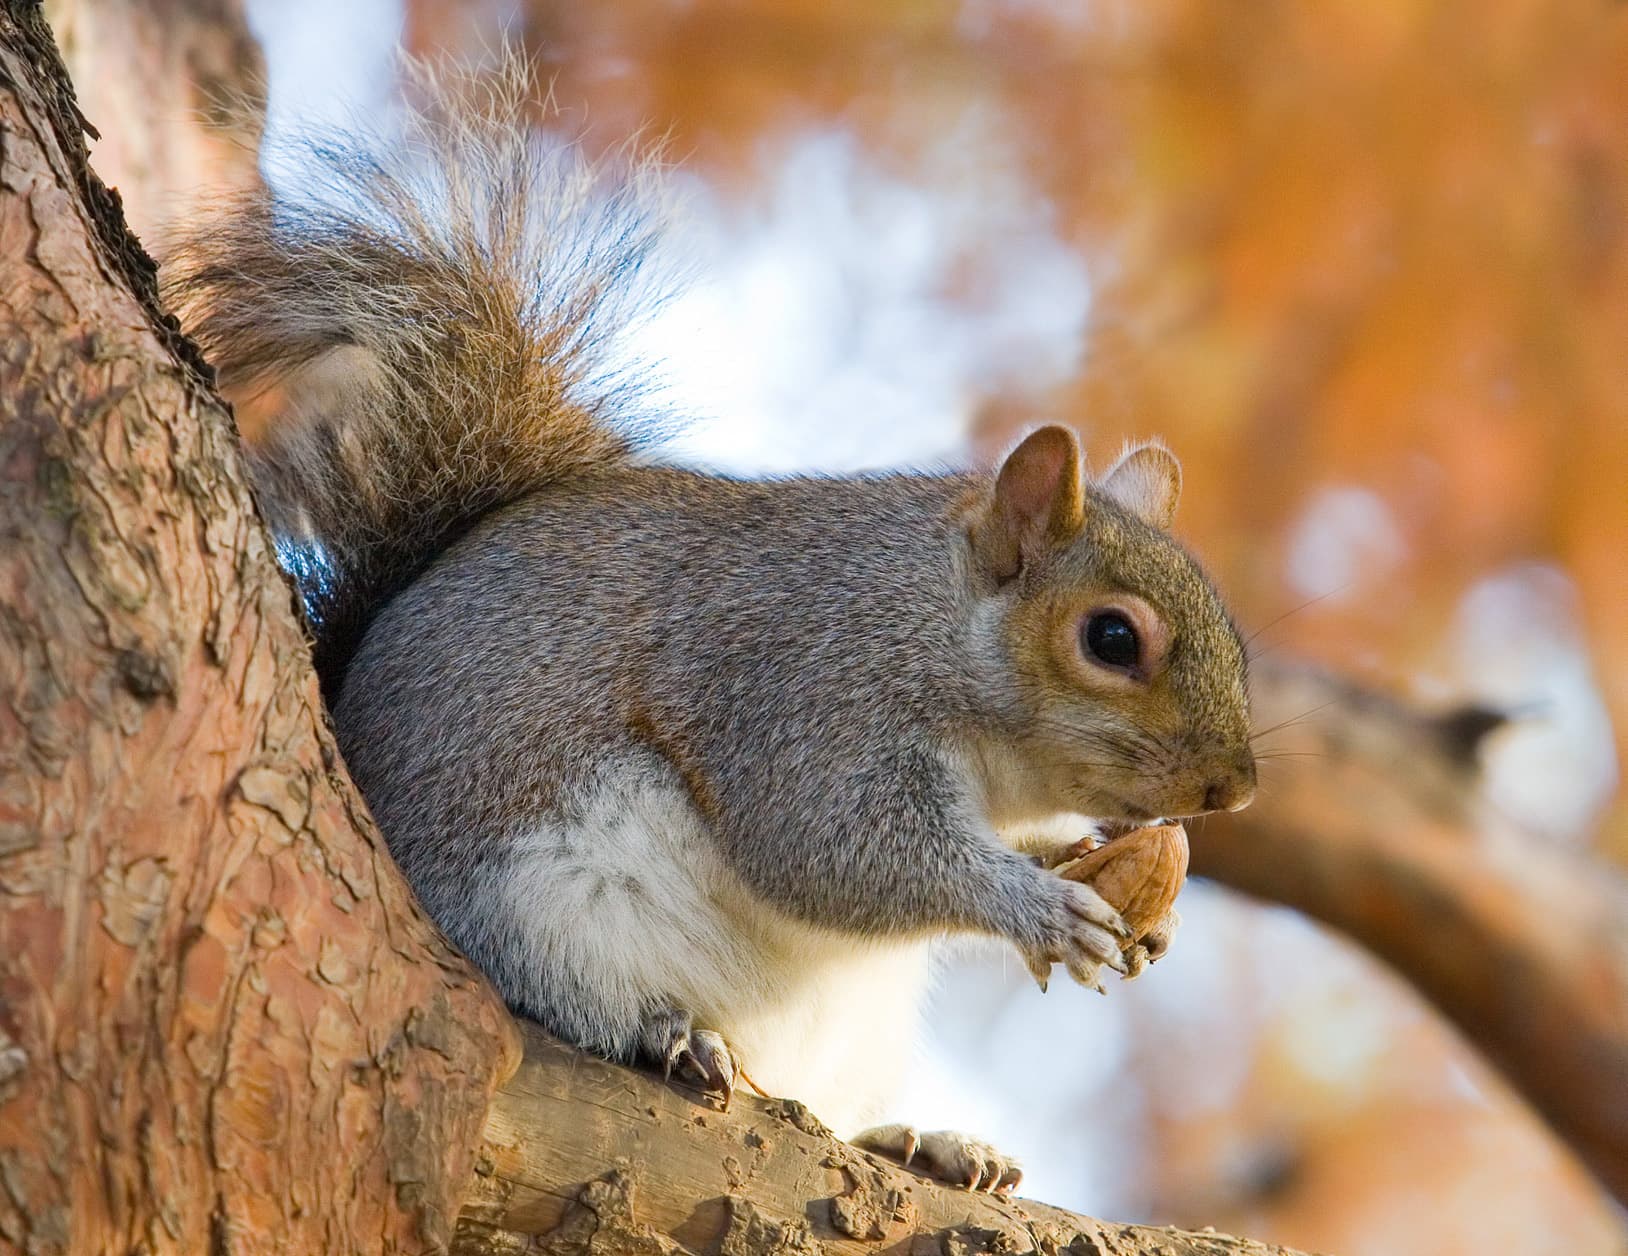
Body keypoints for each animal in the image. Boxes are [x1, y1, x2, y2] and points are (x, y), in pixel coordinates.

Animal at [162, 59, 1256, 1194]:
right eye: (1112, 640)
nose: (1233, 788)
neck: (933, 629)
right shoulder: (799, 690)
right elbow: (829, 846)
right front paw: (1034, 906)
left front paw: (1114, 883)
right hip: (533, 910)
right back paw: (668, 1033)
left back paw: (921, 1141)